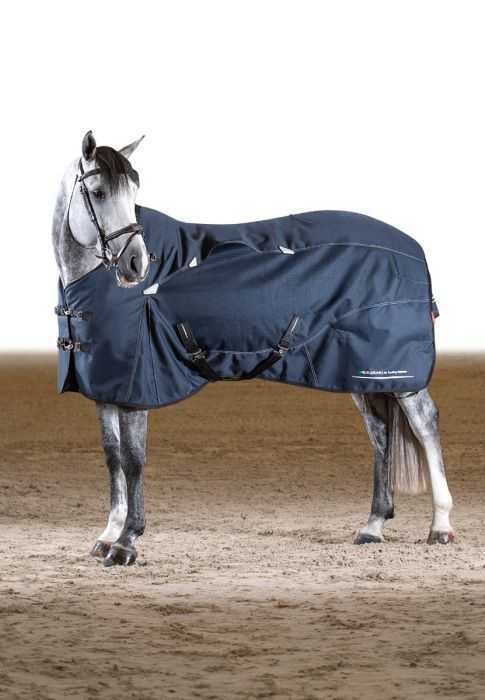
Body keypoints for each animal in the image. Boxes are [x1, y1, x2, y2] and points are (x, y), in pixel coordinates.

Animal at [52, 131, 454, 566]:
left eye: (134, 190)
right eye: (98, 192)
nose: (136, 264)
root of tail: (413, 248)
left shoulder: (136, 387)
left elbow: (133, 460)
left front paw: (127, 543)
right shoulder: (105, 389)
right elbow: (112, 458)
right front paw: (108, 536)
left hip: (399, 374)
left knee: (425, 424)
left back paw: (441, 526)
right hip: (362, 373)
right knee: (380, 434)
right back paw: (374, 525)